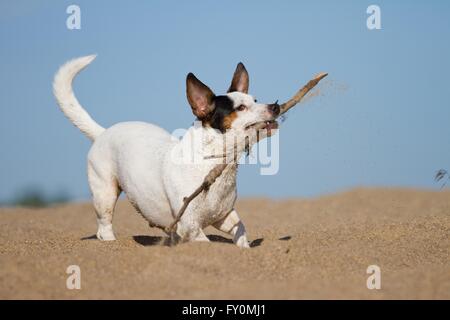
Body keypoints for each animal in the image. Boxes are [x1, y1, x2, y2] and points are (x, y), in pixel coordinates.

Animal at [52, 56, 278, 249]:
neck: (211, 163)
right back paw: (110, 242)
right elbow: (204, 242)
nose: (275, 107)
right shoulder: (190, 226)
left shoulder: (223, 216)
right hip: (104, 193)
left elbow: (241, 231)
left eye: (256, 100)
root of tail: (103, 132)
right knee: (104, 226)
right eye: (240, 108)